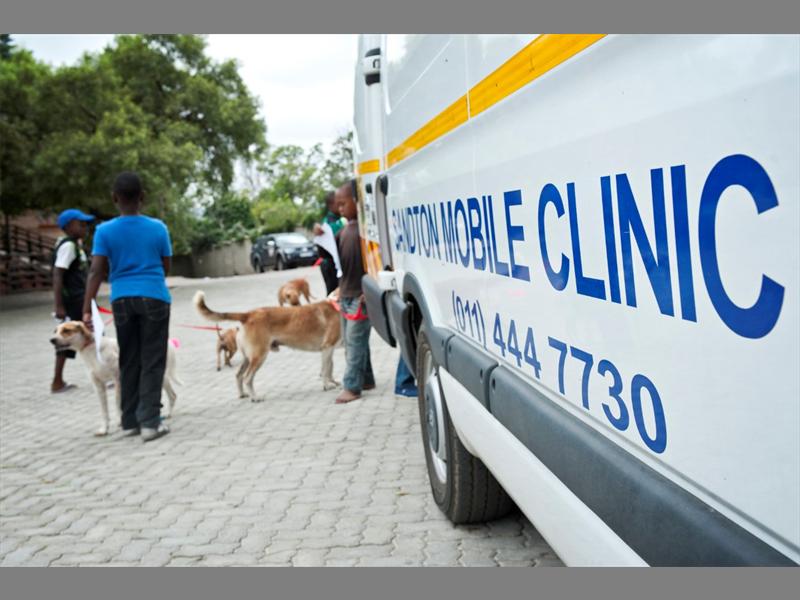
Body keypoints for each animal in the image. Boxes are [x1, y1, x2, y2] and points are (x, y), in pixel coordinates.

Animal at [50, 321, 180, 436]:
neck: (92, 352)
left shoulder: (118, 380)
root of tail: (168, 341)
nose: (52, 340)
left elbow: (117, 404)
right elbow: (104, 411)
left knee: (172, 395)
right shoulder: (98, 386)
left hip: (161, 376)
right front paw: (104, 429)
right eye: (55, 331)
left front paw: (120, 421)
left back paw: (166, 414)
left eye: (66, 330)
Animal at [193, 291, 341, 402]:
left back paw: (242, 394)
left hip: (248, 358)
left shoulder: (330, 349)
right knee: (247, 378)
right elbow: (326, 370)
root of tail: (248, 314)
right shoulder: (327, 347)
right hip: (259, 356)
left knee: (239, 375)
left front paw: (334, 382)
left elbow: (330, 367)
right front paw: (327, 385)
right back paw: (255, 398)